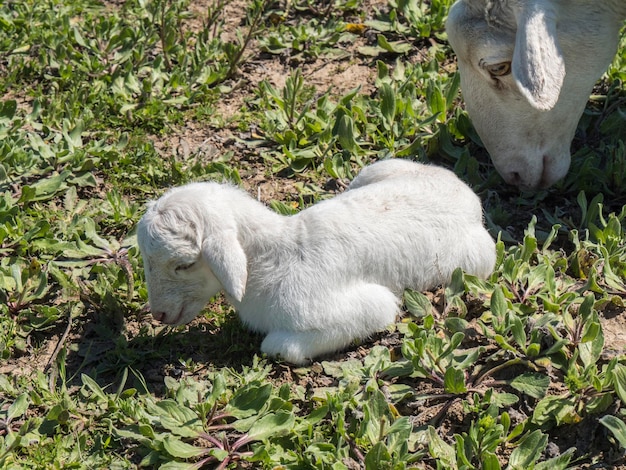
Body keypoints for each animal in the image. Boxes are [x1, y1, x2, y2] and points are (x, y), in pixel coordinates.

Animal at [138, 159, 498, 364]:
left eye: (184, 265)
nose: (159, 314)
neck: (272, 260)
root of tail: (467, 195)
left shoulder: (371, 306)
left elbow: (276, 346)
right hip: (377, 169)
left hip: (477, 259)